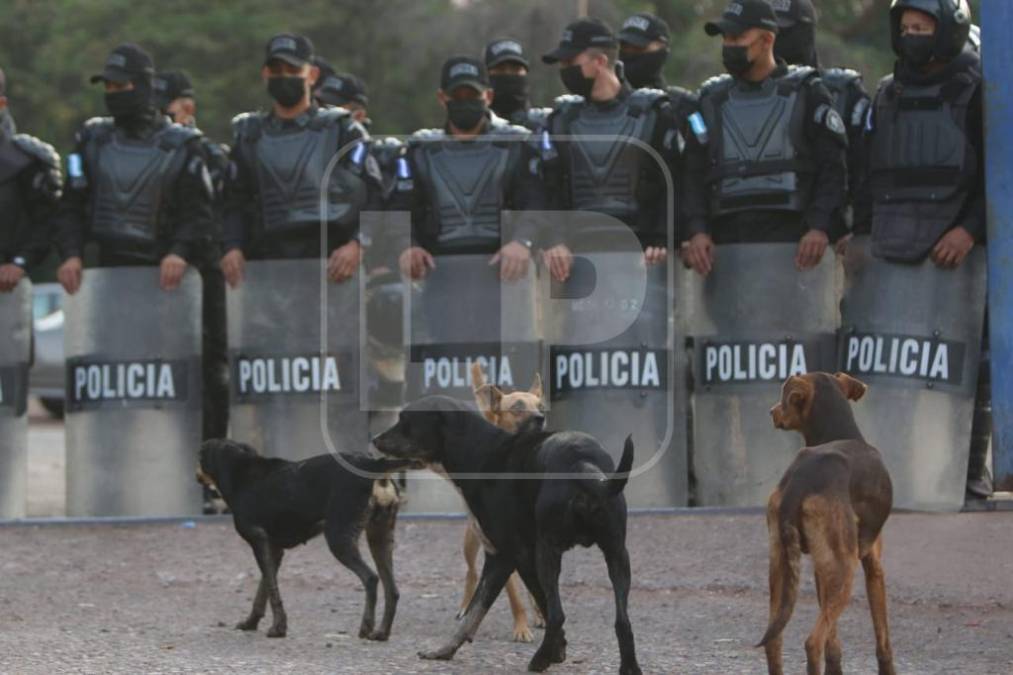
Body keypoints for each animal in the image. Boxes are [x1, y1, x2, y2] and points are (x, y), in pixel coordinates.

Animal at [195, 439, 417, 640]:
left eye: (198, 456)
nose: (196, 474)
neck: (239, 470)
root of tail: (372, 465)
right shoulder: (273, 549)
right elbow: (263, 589)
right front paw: (251, 622)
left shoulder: (259, 542)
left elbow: (272, 590)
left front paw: (278, 628)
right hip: (380, 536)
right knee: (392, 590)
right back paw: (381, 633)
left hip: (339, 538)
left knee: (370, 578)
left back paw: (366, 627)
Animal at [372, 395, 640, 672]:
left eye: (405, 420)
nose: (374, 439)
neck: (480, 453)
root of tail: (581, 465)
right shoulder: (499, 559)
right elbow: (473, 612)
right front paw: (444, 651)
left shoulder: (514, 557)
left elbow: (533, 606)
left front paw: (556, 652)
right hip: (617, 554)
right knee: (623, 621)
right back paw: (630, 667)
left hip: (548, 554)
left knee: (557, 614)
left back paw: (539, 660)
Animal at [461, 364, 547, 640]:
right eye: (517, 407)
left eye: (541, 406)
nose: (540, 418)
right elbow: (514, 595)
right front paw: (521, 628)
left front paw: (542, 615)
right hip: (471, 538)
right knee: (471, 571)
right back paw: (465, 607)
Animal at [761, 370, 895, 668]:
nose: (771, 412)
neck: (841, 432)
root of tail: (799, 484)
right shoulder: (874, 566)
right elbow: (883, 641)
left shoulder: (820, 570)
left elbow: (834, 645)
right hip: (845, 571)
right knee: (813, 642)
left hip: (782, 565)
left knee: (775, 640)